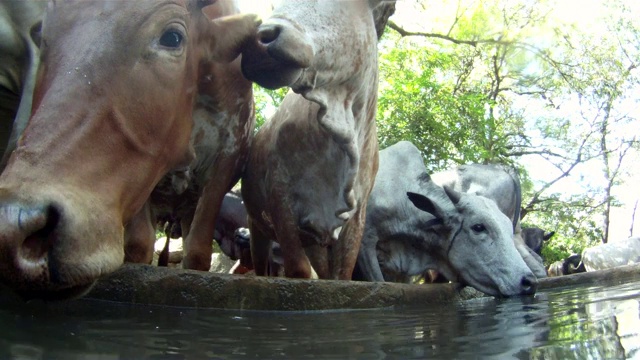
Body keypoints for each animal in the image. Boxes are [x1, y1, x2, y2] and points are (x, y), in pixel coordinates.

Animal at [0, 0, 260, 298]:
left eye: (173, 37)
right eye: (44, 36)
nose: (10, 226)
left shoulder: (225, 160)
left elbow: (197, 252)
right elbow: (139, 245)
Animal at [239, 0, 390, 280]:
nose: (259, 37)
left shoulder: (356, 212)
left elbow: (342, 274)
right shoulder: (280, 191)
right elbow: (298, 269)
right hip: (257, 226)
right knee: (261, 265)